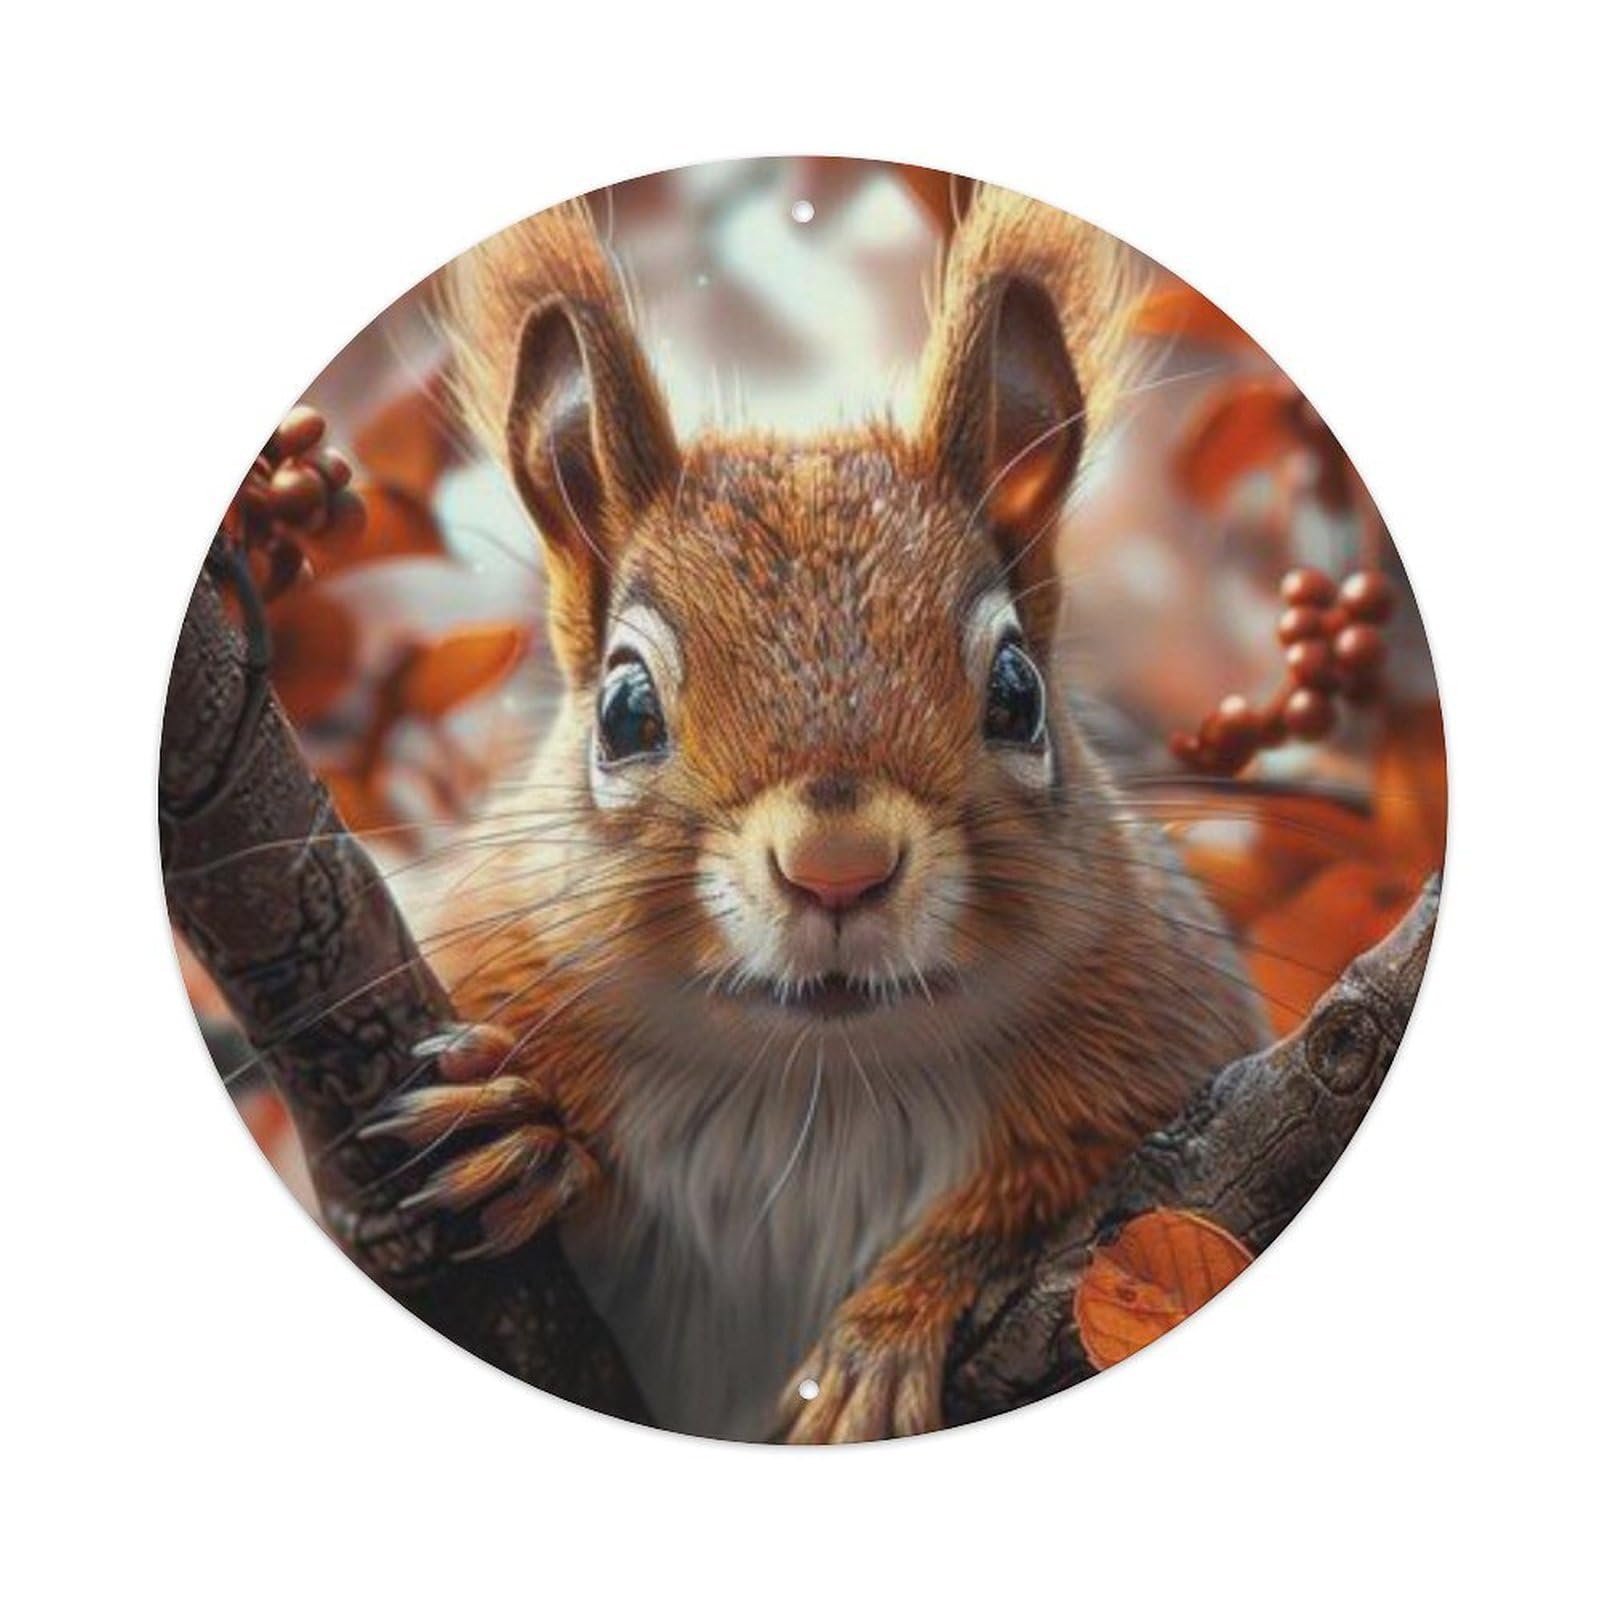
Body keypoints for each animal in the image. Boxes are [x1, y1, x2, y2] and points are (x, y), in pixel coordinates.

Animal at [372, 186, 1268, 1442]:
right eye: (626, 709)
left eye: (1016, 692)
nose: (836, 865)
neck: (812, 1081)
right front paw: (526, 1129)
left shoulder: (1161, 1039)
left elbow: (1033, 1201)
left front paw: (879, 1339)